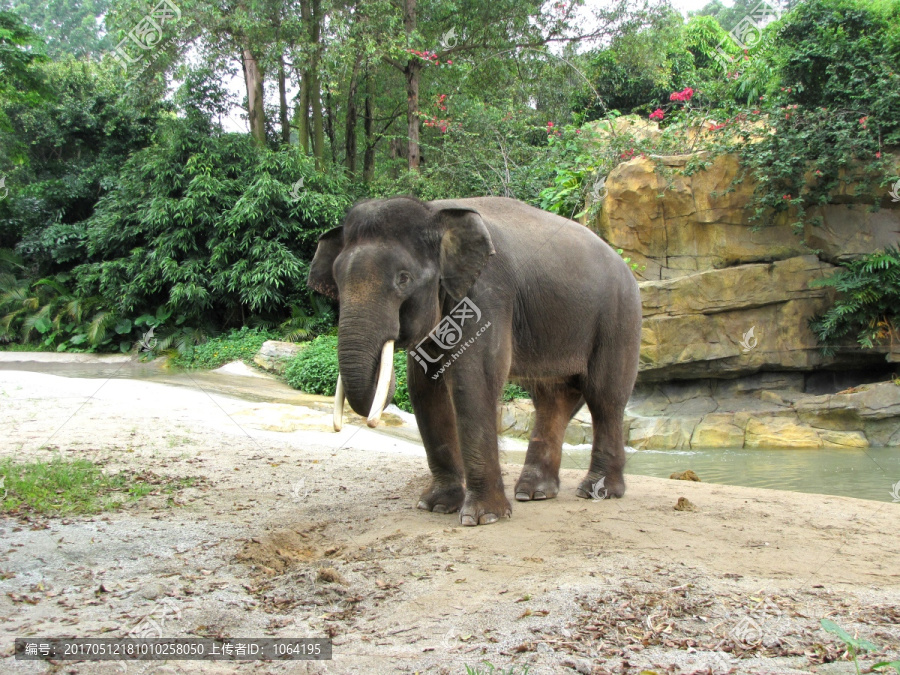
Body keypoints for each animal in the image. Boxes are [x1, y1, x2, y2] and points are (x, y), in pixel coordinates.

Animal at [306, 195, 644, 528]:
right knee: (552, 397)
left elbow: (473, 380)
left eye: (404, 279)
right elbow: (425, 387)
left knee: (604, 396)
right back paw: (533, 493)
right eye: (336, 281)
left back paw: (598, 492)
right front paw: (436, 506)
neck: (434, 212)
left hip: (620, 316)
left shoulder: (486, 295)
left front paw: (484, 517)